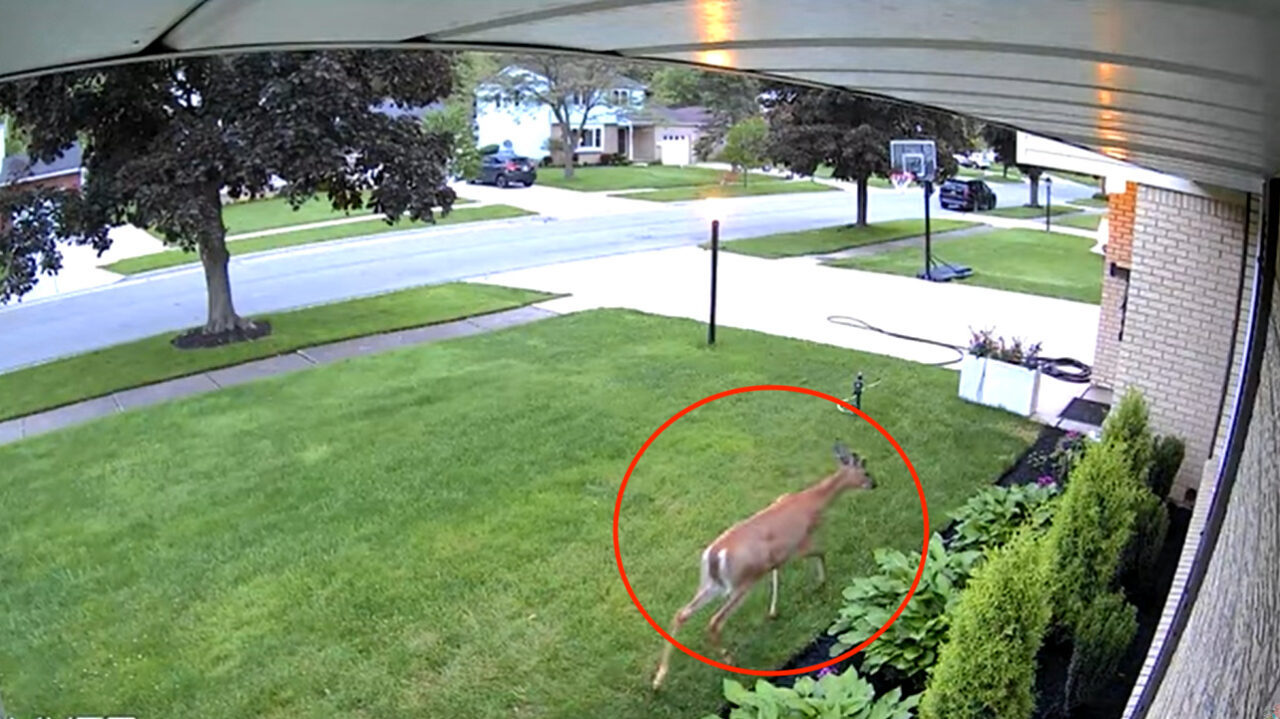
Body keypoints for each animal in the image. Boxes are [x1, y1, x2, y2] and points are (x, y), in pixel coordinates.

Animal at [655, 440, 875, 685]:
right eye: (865, 471)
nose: (874, 484)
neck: (813, 501)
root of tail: (714, 555)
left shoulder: (777, 554)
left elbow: (776, 572)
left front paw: (773, 611)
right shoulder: (800, 542)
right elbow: (821, 552)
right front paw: (821, 583)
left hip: (711, 584)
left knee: (681, 613)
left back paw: (659, 678)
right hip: (742, 583)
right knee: (714, 621)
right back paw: (729, 660)